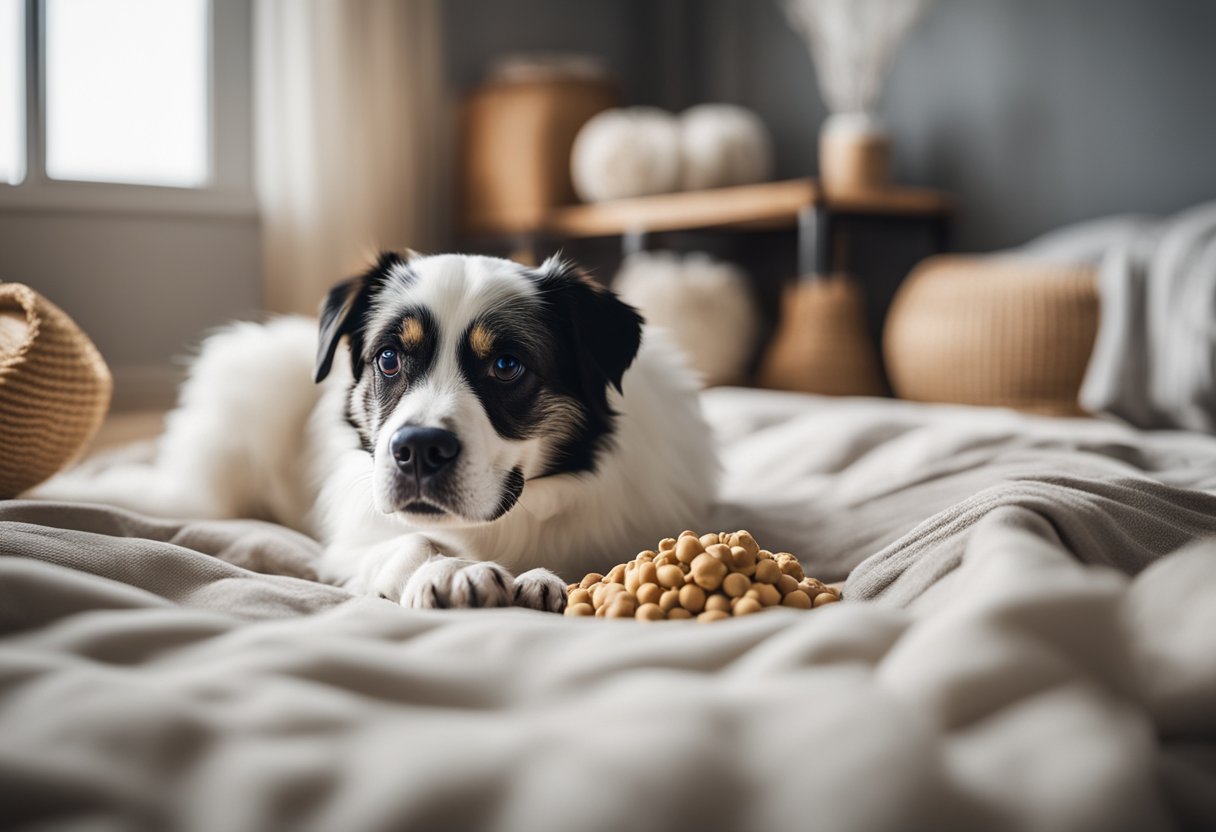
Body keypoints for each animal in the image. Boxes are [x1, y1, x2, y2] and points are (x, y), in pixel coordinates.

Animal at [40, 250, 719, 608]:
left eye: (506, 365)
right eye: (389, 359)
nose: (417, 450)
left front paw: (538, 580)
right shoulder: (355, 543)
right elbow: (409, 543)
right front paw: (448, 571)